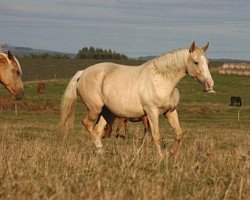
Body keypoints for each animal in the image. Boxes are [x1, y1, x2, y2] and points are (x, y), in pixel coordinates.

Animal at [59, 41, 214, 158]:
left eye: (207, 62)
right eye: (195, 62)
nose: (209, 85)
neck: (162, 80)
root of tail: (83, 72)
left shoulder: (170, 112)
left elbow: (179, 134)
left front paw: (170, 154)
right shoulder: (151, 112)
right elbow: (156, 136)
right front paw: (161, 158)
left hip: (107, 113)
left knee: (97, 130)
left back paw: (101, 152)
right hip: (95, 109)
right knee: (87, 124)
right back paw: (99, 148)